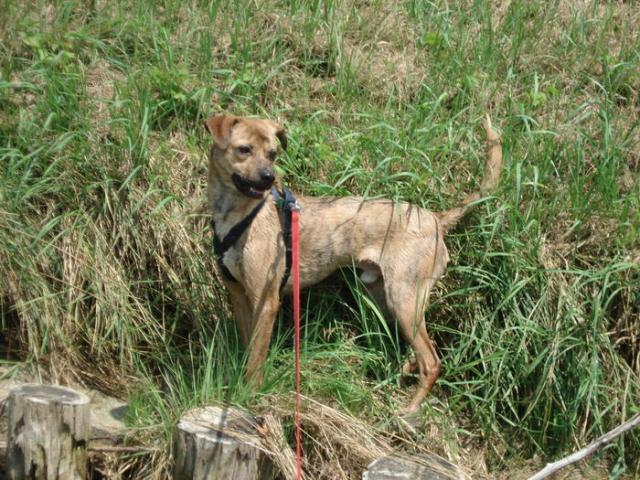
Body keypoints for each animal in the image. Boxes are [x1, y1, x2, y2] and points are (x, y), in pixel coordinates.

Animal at [205, 114, 502, 413]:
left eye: (272, 153)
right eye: (244, 150)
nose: (269, 178)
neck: (239, 215)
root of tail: (435, 219)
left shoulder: (265, 301)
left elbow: (256, 361)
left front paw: (250, 396)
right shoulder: (239, 296)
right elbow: (248, 350)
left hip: (403, 298)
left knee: (432, 361)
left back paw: (408, 410)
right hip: (386, 297)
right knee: (419, 350)